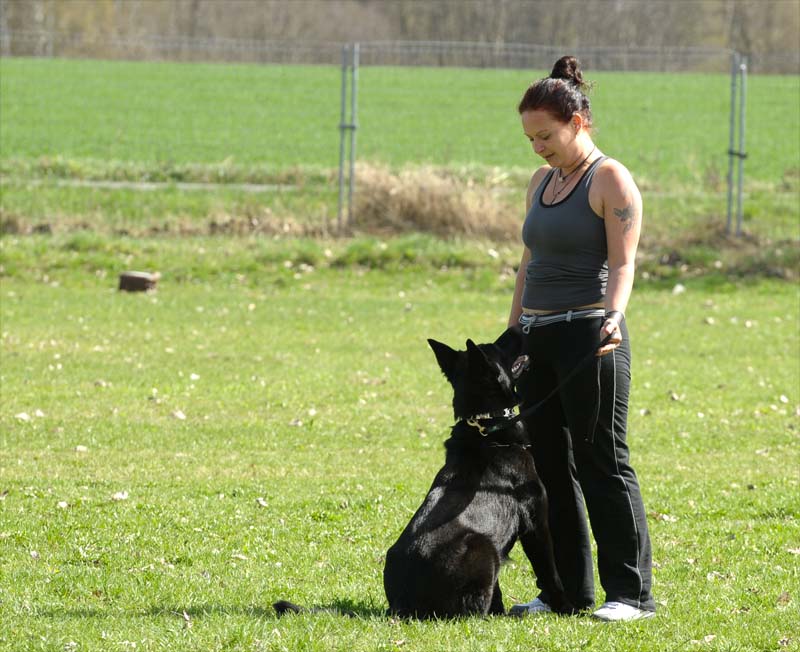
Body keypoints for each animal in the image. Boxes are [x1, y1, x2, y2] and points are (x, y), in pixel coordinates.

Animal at [382, 328, 568, 620]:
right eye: (497, 345)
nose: (518, 328)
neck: (487, 426)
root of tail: (403, 606)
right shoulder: (535, 524)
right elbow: (550, 574)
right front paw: (567, 609)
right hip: (483, 546)